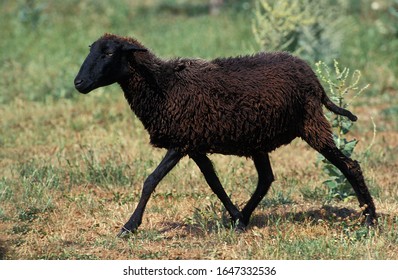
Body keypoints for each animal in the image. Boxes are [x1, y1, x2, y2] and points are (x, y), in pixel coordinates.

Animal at [74, 33, 376, 236]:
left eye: (109, 54)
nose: (78, 83)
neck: (164, 85)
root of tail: (314, 78)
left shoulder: (181, 141)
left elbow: (151, 180)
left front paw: (129, 226)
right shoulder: (194, 144)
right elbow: (214, 182)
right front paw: (235, 218)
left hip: (311, 125)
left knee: (350, 166)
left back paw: (370, 218)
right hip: (259, 139)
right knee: (266, 179)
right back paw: (245, 217)